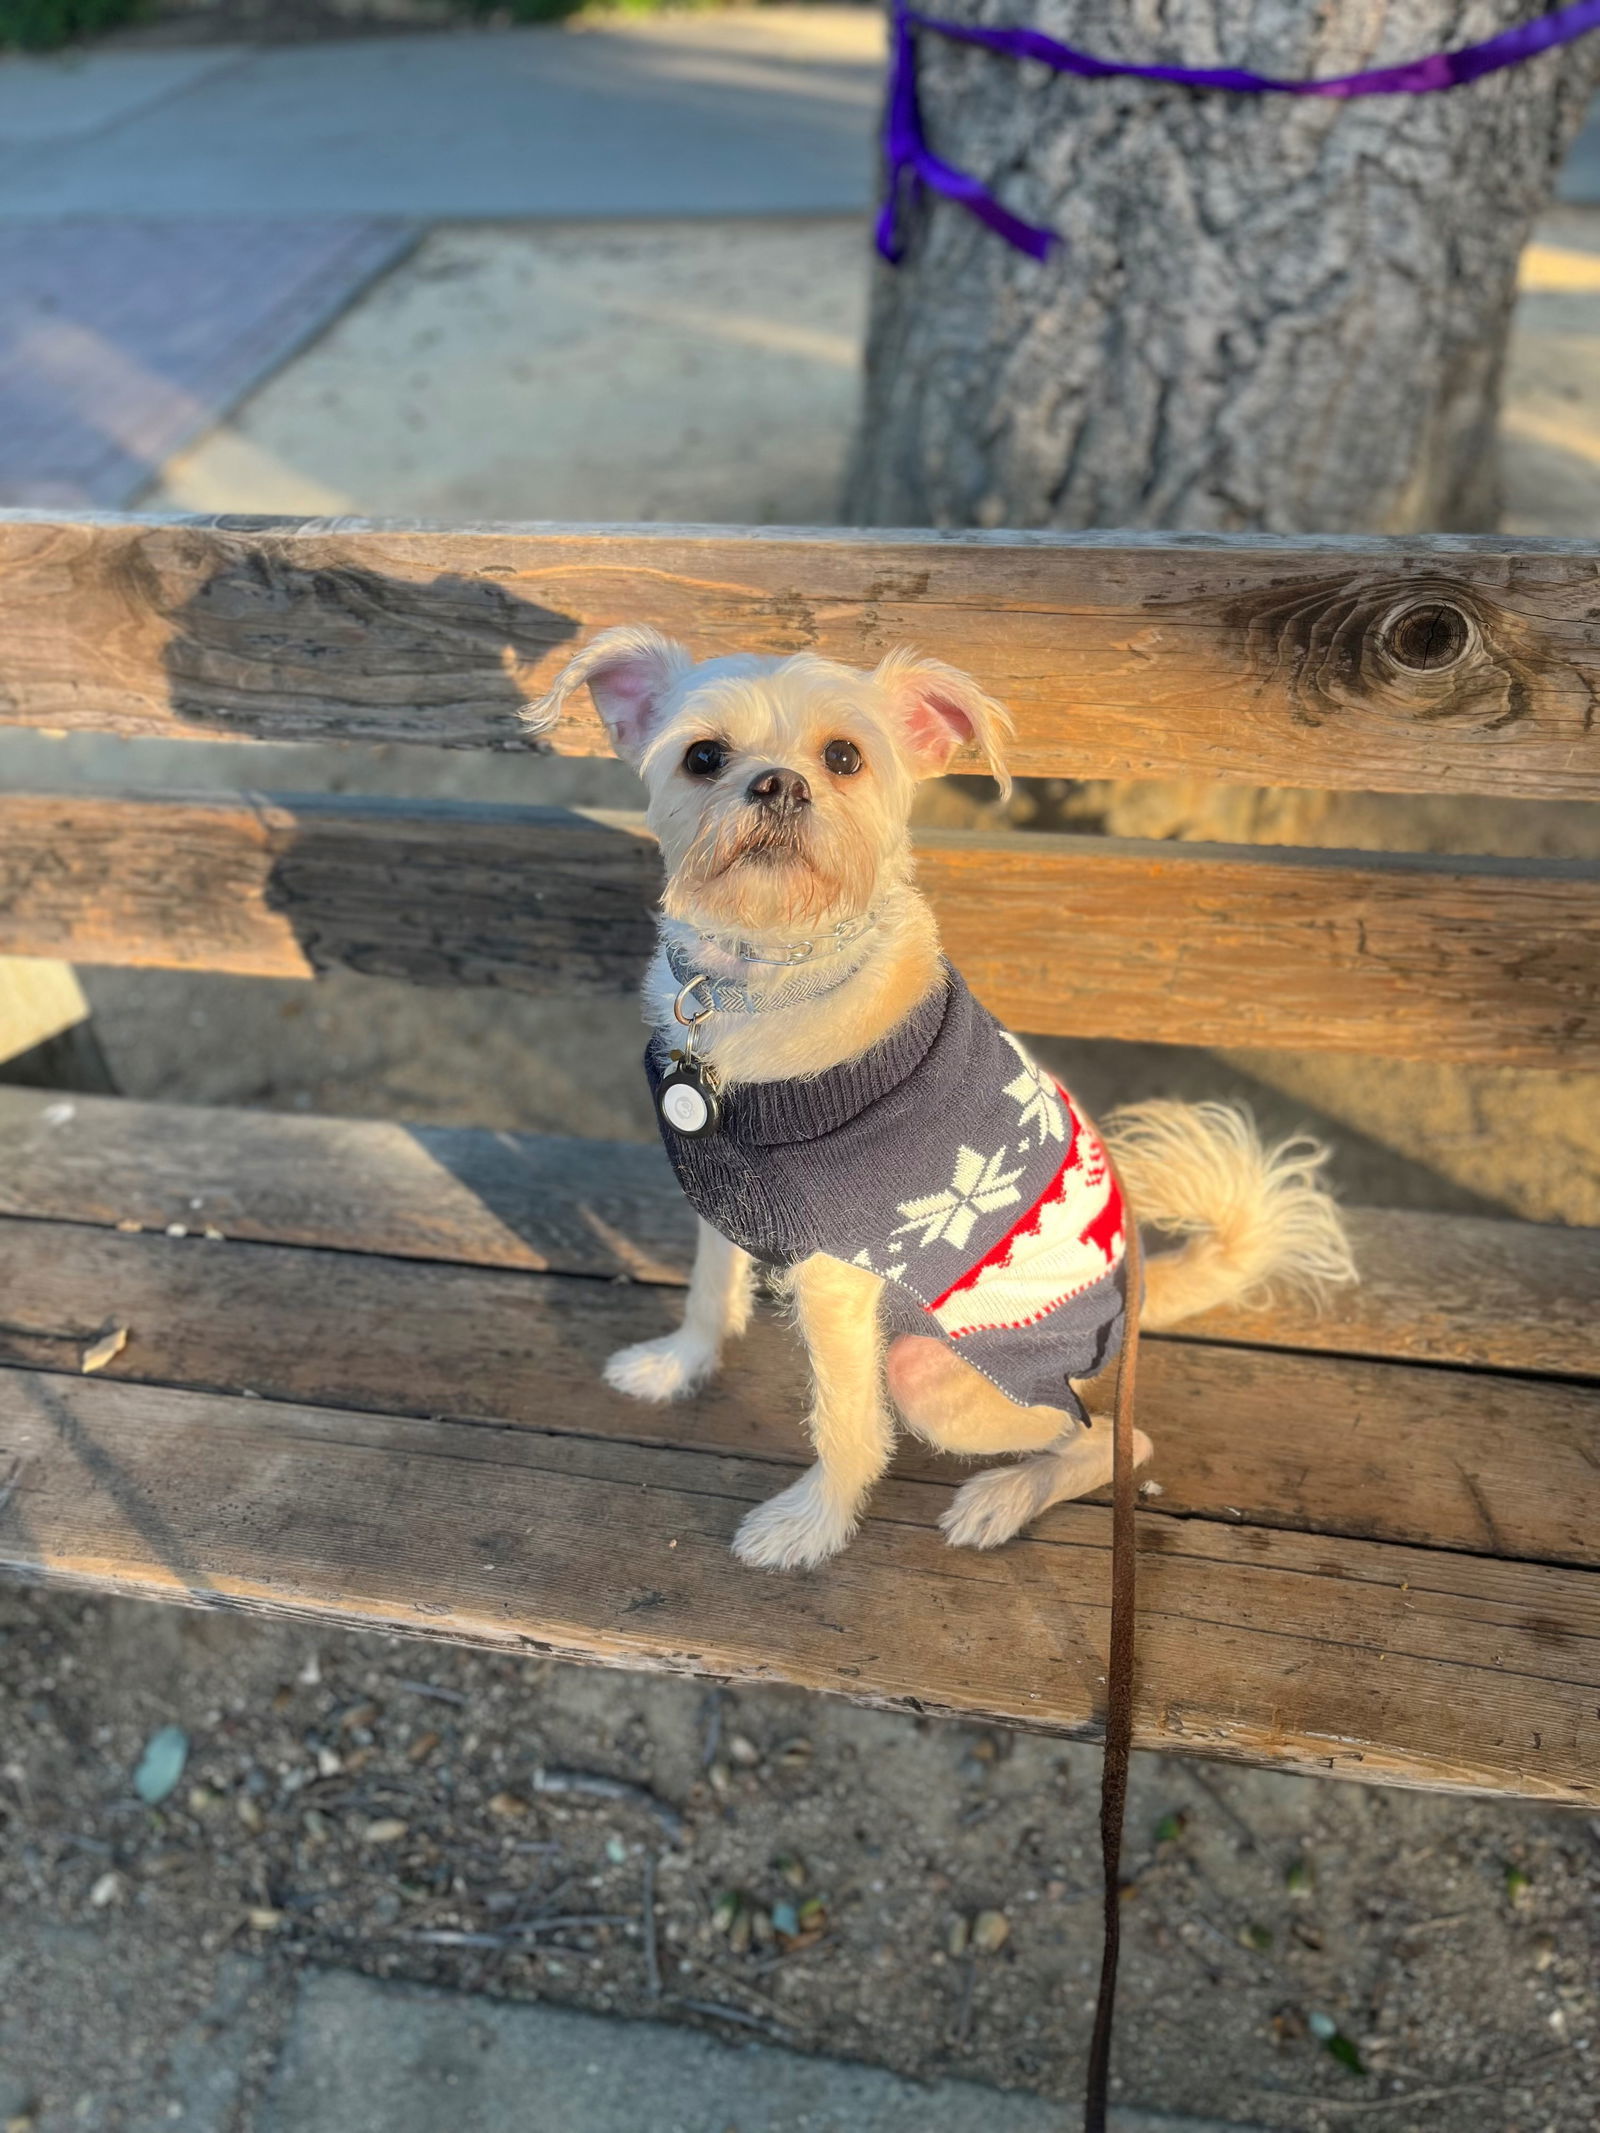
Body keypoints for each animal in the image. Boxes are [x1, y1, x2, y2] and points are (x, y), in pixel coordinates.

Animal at [533, 627, 1356, 1569]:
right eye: (703, 756)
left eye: (844, 756)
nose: (778, 783)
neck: (765, 976)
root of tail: (1136, 1302)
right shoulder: (725, 1202)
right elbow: (710, 1294)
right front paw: (678, 1365)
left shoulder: (835, 1282)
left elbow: (846, 1427)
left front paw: (811, 1526)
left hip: (931, 1372)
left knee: (1109, 1438)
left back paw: (1000, 1499)